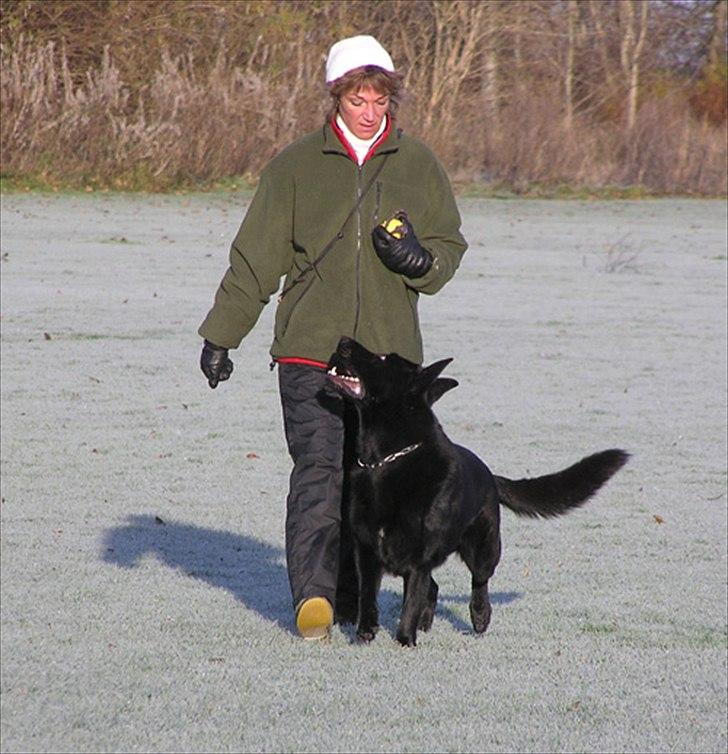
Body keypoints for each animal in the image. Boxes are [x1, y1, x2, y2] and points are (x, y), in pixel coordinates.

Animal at [328, 336, 628, 648]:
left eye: (384, 358)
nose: (343, 341)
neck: (385, 461)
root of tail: (490, 476)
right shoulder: (366, 551)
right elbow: (368, 597)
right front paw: (365, 635)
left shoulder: (418, 559)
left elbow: (409, 605)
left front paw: (404, 642)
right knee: (433, 588)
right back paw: (426, 622)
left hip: (484, 547)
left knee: (479, 581)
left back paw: (479, 615)